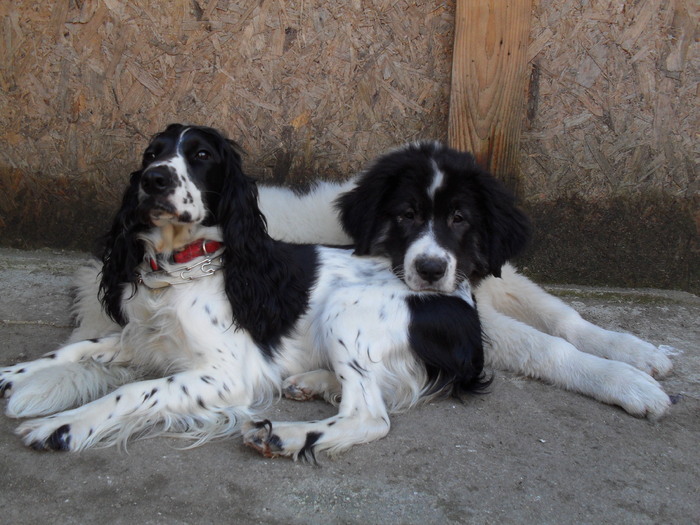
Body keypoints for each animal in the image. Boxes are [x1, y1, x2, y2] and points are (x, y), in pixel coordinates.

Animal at [0, 124, 524, 454]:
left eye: (202, 155)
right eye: (152, 152)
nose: (154, 179)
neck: (180, 269)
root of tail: (462, 297)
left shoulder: (225, 375)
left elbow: (132, 392)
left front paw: (61, 426)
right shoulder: (141, 339)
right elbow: (73, 350)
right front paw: (11, 374)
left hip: (345, 308)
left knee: (369, 416)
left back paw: (284, 436)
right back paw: (313, 382)